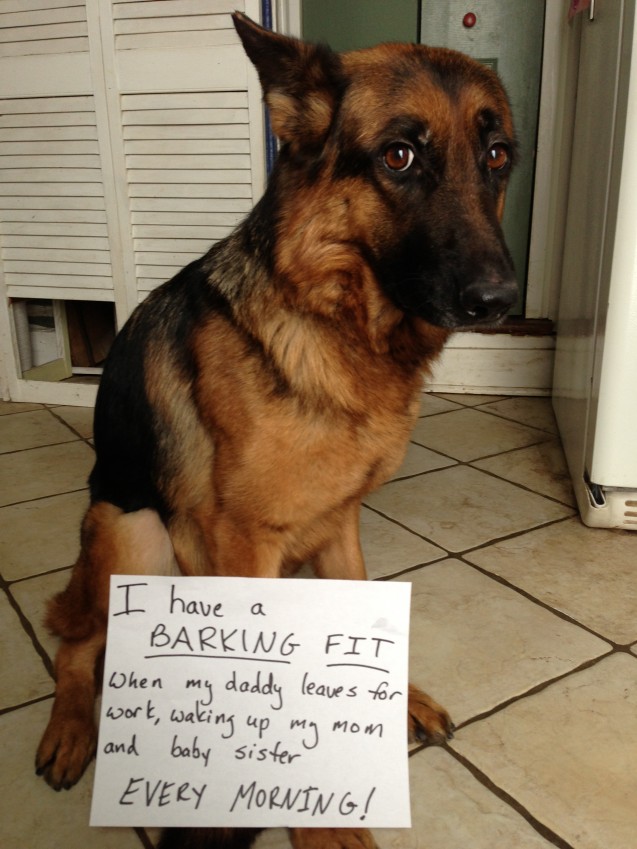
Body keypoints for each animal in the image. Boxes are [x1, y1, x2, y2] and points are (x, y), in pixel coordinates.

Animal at [34, 11, 516, 848]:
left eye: (496, 156)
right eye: (399, 155)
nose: (501, 299)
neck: (334, 323)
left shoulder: (339, 524)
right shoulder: (242, 542)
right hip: (131, 529)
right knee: (78, 644)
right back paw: (69, 727)